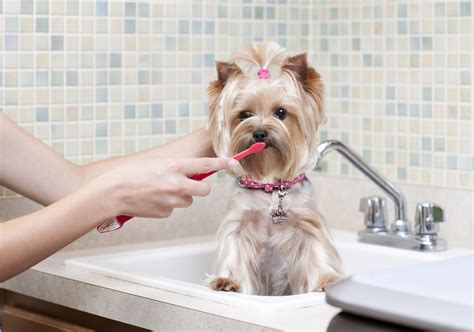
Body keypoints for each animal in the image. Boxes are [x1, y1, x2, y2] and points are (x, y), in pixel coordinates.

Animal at [206, 42, 342, 296]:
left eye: (281, 112)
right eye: (244, 115)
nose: (259, 133)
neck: (269, 185)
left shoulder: (308, 224)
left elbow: (317, 252)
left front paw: (327, 280)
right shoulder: (239, 224)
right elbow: (234, 251)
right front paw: (229, 280)